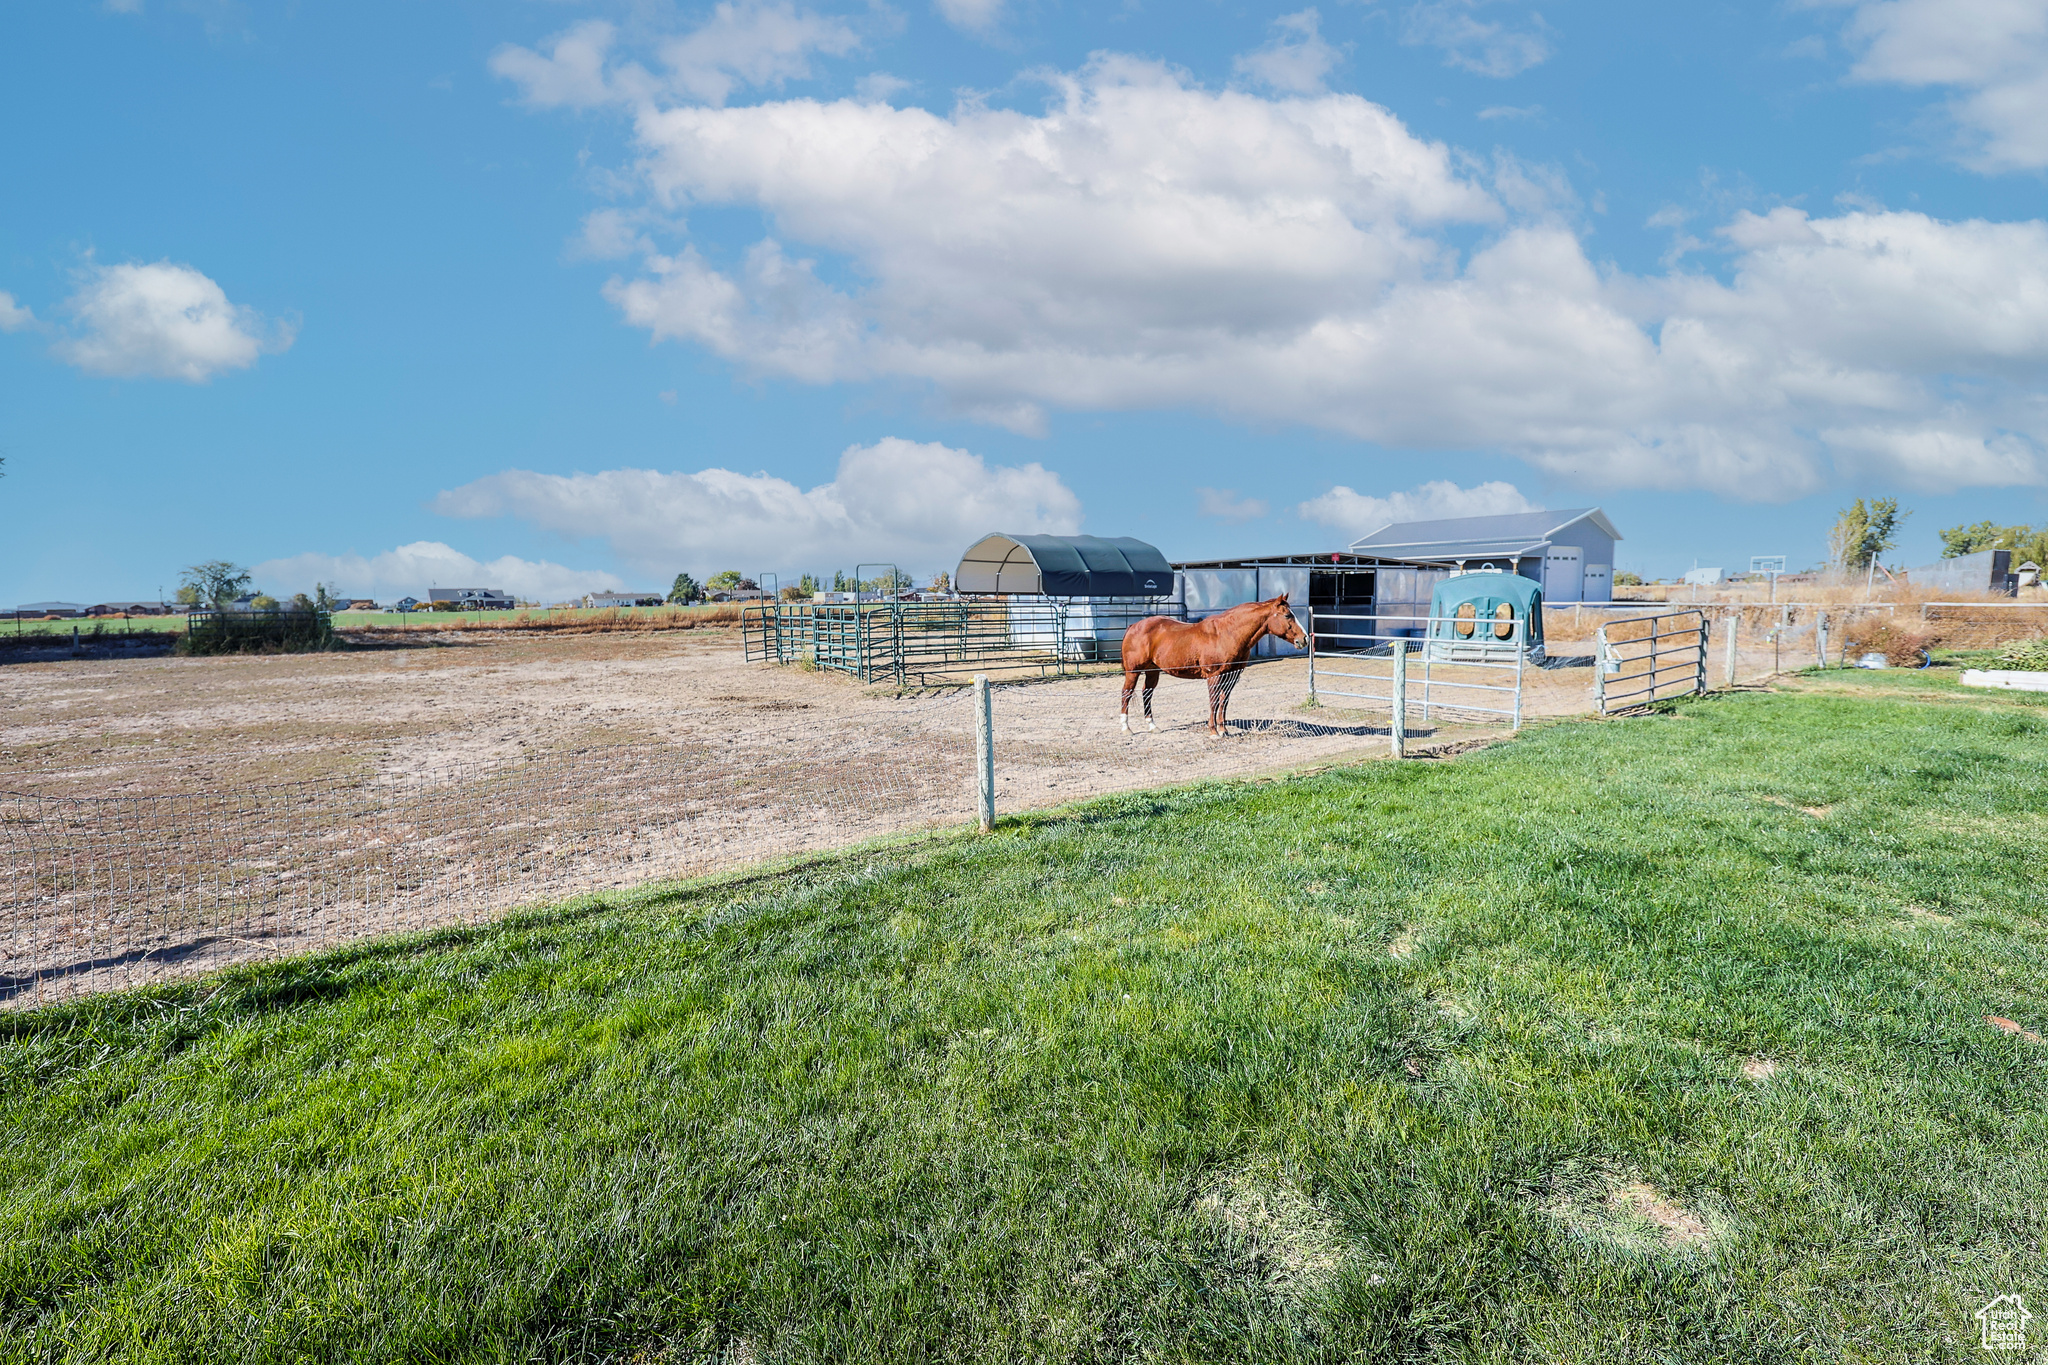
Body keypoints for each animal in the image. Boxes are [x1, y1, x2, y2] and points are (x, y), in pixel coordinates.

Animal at [1122, 601, 1310, 740]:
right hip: (1133, 672)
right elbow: (1213, 701)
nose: (1304, 639)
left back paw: (1153, 726)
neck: (1226, 634)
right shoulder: (1213, 676)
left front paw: (1223, 730)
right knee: (1126, 693)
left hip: (1152, 671)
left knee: (1147, 693)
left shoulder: (1231, 677)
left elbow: (1223, 702)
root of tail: (1133, 626)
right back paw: (1126, 728)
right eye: (1287, 615)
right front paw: (1213, 732)